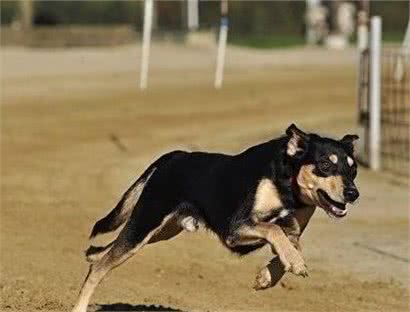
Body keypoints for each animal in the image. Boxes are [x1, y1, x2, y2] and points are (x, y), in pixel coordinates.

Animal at [73, 124, 358, 312]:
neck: (288, 186)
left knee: (102, 254)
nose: (353, 194)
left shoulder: (292, 230)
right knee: (99, 269)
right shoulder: (235, 229)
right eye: (325, 164)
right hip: (145, 224)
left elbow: (288, 244)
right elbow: (274, 231)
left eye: (353, 169)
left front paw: (268, 276)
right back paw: (80, 304)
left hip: (160, 230)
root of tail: (175, 155)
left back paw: (92, 255)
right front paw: (295, 265)